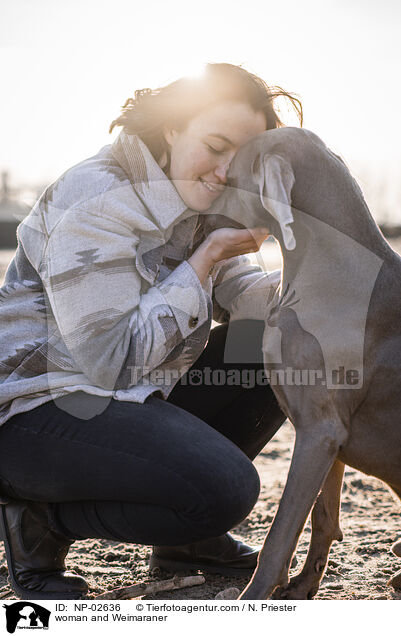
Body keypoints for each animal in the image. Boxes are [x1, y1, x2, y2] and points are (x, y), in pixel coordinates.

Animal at [208, 126, 398, 600]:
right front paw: (300, 586)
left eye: (227, 178)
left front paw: (255, 596)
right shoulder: (328, 435)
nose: (192, 217)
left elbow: (280, 533)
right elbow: (320, 515)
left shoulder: (320, 430)